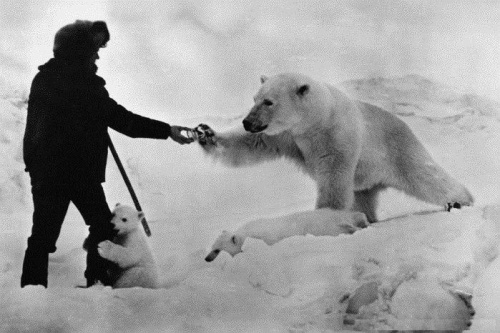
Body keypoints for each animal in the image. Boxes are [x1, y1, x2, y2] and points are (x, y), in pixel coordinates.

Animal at [197, 74, 474, 222]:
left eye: (269, 101)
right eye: (254, 98)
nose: (247, 122)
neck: (315, 121)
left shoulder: (336, 136)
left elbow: (333, 176)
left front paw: (323, 216)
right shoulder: (287, 136)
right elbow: (251, 145)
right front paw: (206, 134)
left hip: (397, 149)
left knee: (425, 176)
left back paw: (461, 201)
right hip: (366, 177)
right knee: (362, 197)